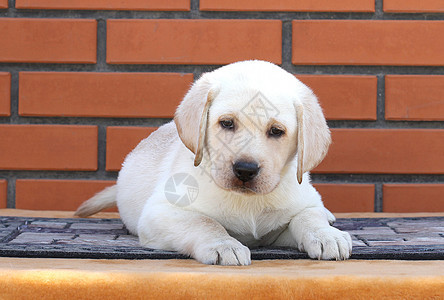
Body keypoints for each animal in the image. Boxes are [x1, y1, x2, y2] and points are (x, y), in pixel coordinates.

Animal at [77, 60, 354, 264]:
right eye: (227, 123)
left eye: (276, 131)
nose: (245, 170)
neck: (247, 203)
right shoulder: (160, 212)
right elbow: (204, 222)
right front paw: (224, 245)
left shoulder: (297, 209)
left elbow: (309, 215)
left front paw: (326, 236)